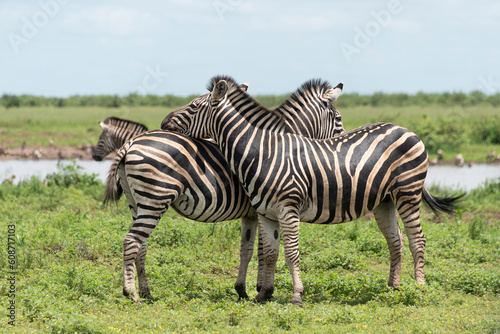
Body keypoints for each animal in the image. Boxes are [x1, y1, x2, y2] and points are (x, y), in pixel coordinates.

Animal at [104, 79, 348, 302]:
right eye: (338, 119)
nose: (164, 122)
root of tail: (131, 142)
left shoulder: (251, 214)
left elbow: (247, 250)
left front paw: (244, 289)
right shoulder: (264, 210)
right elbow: (263, 251)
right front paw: (262, 289)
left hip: (137, 202)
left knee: (141, 245)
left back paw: (147, 292)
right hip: (156, 198)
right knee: (132, 241)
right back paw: (132, 293)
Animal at [162, 75, 462, 306]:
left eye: (194, 106)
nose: (164, 123)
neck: (262, 152)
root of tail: (406, 129)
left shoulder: (287, 209)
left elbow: (290, 253)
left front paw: (296, 295)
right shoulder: (265, 213)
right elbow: (269, 253)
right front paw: (263, 294)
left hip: (408, 192)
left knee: (417, 239)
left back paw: (419, 288)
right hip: (384, 201)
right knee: (395, 240)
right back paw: (393, 287)